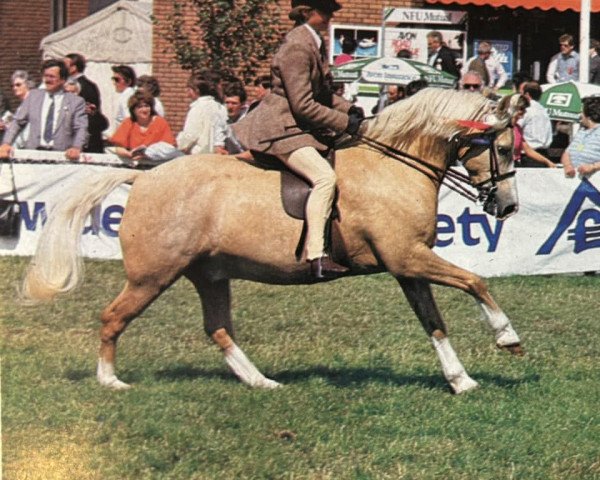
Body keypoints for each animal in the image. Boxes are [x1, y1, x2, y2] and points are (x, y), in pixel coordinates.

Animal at [23, 89, 524, 394]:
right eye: (503, 148)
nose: (508, 208)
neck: (394, 167)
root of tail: (142, 178)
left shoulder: (407, 266)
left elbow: (433, 323)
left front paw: (460, 381)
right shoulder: (410, 259)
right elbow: (475, 282)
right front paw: (508, 338)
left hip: (209, 275)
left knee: (218, 328)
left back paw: (260, 382)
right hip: (152, 276)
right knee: (113, 318)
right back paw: (110, 381)